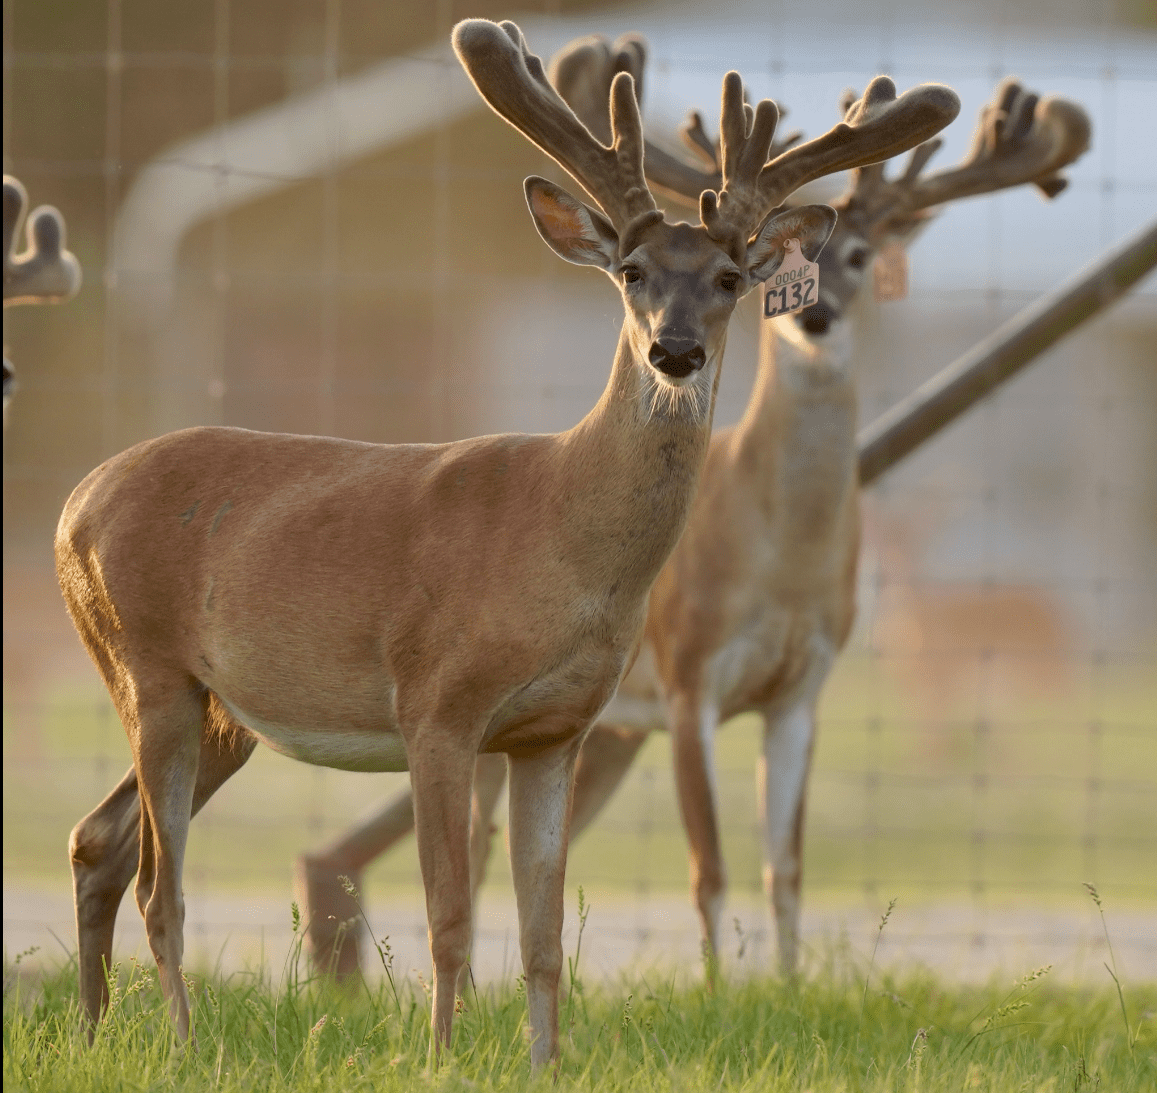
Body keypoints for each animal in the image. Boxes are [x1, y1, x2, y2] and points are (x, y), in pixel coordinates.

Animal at [55, 18, 958, 1069]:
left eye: (731, 278)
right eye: (631, 273)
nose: (675, 351)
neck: (560, 544)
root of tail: (74, 503)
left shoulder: (555, 730)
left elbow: (541, 930)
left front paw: (546, 1062)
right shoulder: (436, 703)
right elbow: (449, 913)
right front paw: (439, 1057)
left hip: (222, 712)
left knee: (98, 839)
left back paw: (92, 1030)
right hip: (144, 660)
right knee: (158, 884)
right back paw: (183, 1045)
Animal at [293, 34, 1089, 984]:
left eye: (859, 259)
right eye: (631, 271)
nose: (814, 314)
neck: (780, 564)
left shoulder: (803, 688)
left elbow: (785, 863)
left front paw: (785, 986)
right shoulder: (686, 674)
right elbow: (707, 864)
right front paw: (715, 988)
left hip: (601, 730)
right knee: (484, 839)